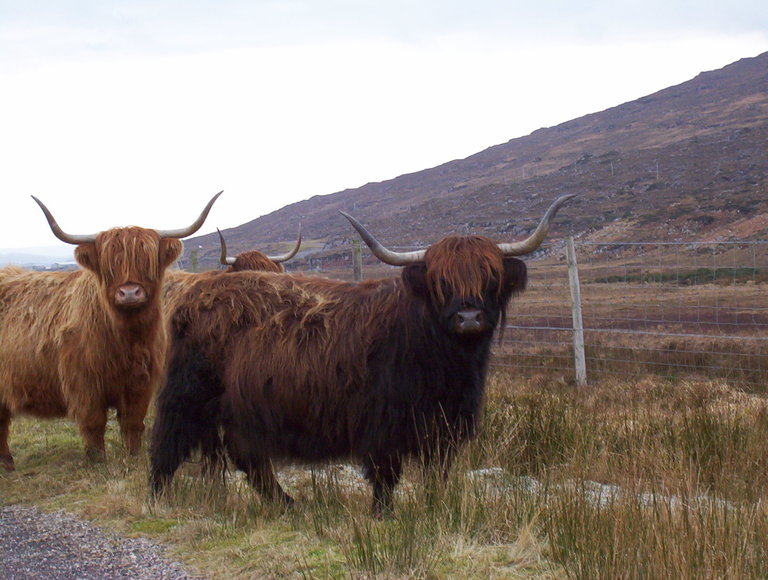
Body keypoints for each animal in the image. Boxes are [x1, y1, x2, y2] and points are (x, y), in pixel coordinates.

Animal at [0, 193, 222, 468]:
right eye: (110, 264)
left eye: (147, 260)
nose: (130, 293)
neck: (127, 339)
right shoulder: (84, 384)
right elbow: (94, 424)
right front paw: (97, 462)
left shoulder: (141, 383)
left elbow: (133, 423)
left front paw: (133, 457)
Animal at [150, 194, 572, 512]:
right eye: (441, 282)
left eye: (491, 277)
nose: (468, 318)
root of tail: (195, 293)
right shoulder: (382, 422)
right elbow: (386, 475)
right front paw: (382, 515)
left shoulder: (444, 425)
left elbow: (438, 474)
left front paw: (437, 507)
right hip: (189, 394)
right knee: (169, 441)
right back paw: (157, 497)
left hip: (238, 409)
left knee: (247, 457)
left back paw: (287, 504)